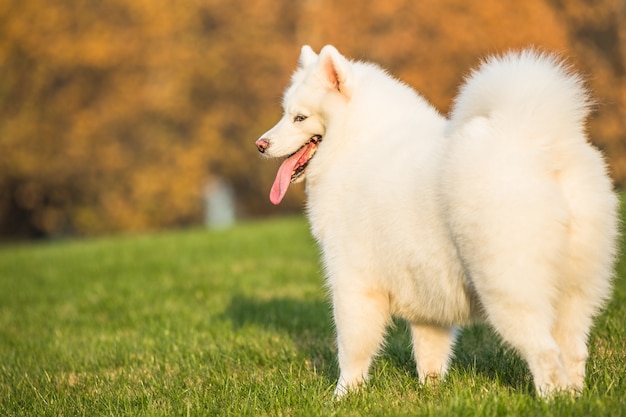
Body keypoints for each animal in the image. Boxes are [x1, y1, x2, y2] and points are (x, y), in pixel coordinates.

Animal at [252, 45, 616, 396]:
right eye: (285, 113)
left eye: (300, 117)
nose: (260, 144)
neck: (357, 144)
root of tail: (539, 141)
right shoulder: (427, 297)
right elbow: (430, 353)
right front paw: (431, 391)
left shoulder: (353, 284)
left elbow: (353, 351)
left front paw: (343, 397)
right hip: (576, 292)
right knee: (573, 352)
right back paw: (574, 398)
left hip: (509, 288)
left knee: (545, 353)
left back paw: (552, 399)